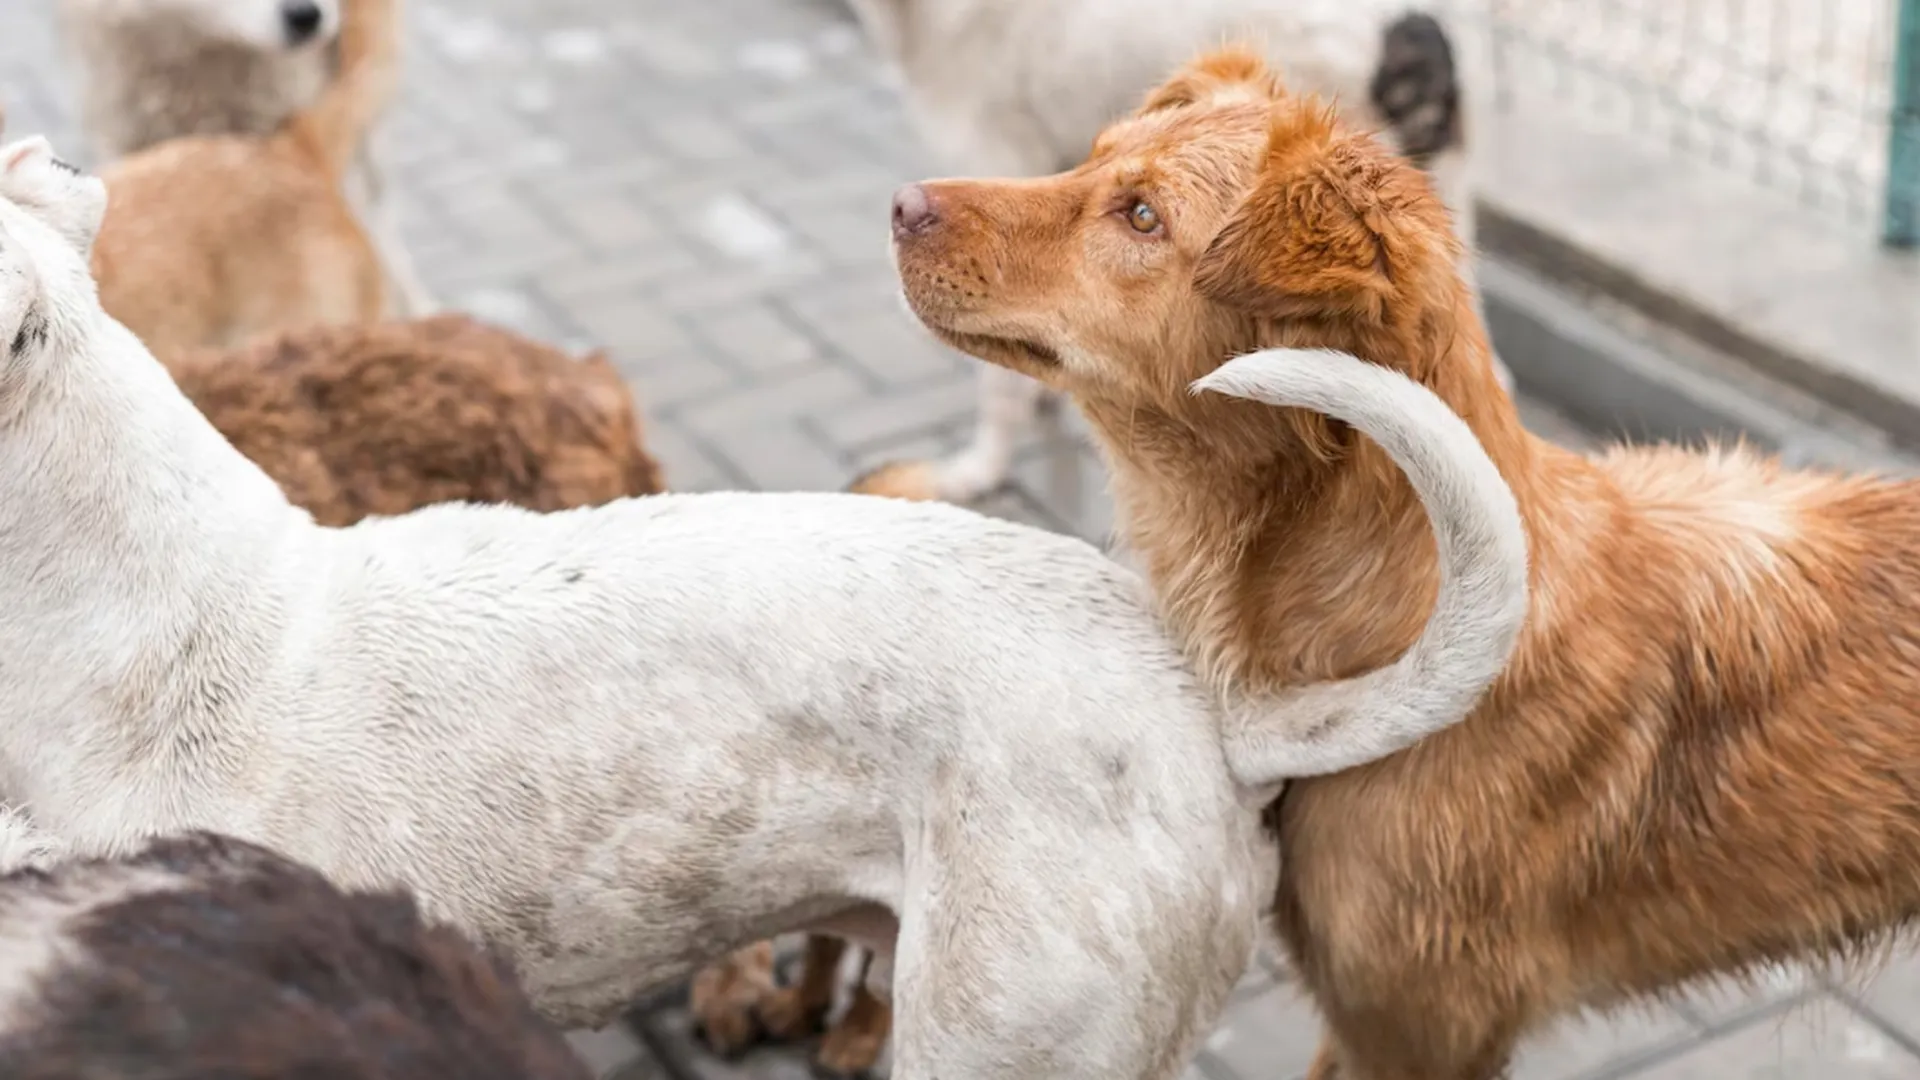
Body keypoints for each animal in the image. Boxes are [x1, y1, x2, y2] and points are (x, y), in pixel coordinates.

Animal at [879, 42, 1920, 1076]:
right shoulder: (1360, 1017)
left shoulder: (1421, 1028)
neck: (1385, 632)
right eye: (1090, 158)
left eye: (1142, 216)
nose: (900, 203)